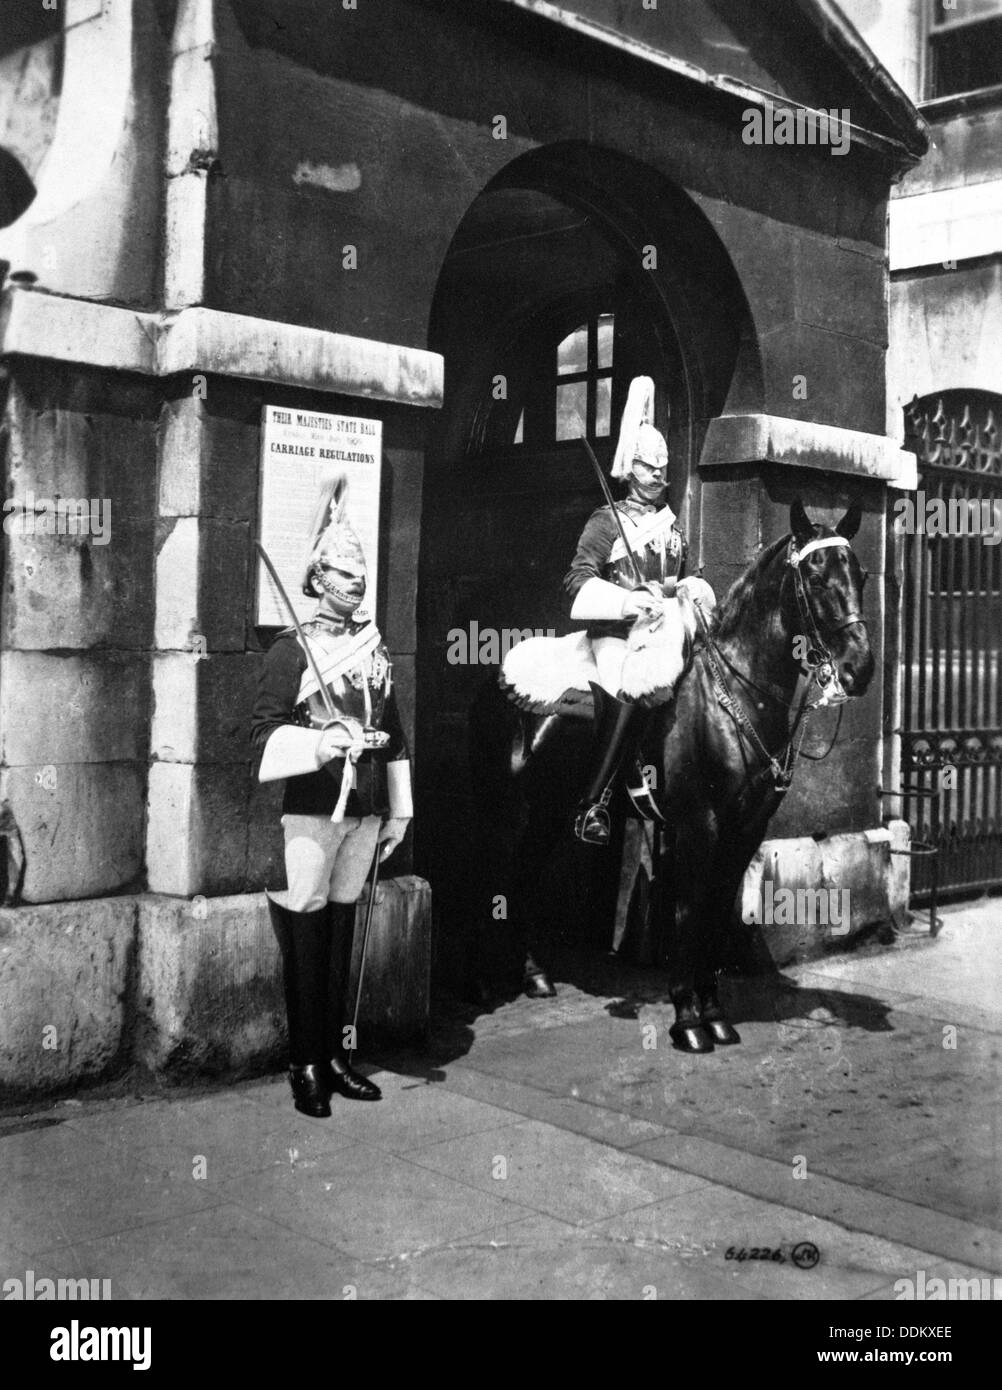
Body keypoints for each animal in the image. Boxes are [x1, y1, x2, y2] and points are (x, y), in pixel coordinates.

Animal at [469, 500, 867, 1050]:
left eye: (861, 576)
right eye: (815, 575)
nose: (860, 668)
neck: (738, 695)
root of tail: (501, 675)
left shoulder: (745, 831)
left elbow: (716, 914)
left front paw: (714, 1013)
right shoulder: (699, 826)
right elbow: (688, 913)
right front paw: (688, 1018)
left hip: (549, 809)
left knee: (523, 877)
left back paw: (535, 975)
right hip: (514, 808)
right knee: (498, 874)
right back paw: (489, 982)